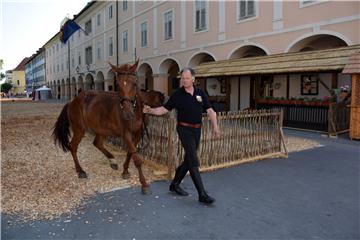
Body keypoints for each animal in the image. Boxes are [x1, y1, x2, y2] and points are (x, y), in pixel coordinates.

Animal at [52, 61, 165, 194]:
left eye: (134, 83)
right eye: (118, 84)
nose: (127, 113)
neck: (135, 111)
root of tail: (72, 101)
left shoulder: (137, 133)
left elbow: (130, 152)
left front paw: (125, 171)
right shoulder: (125, 134)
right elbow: (136, 159)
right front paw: (144, 184)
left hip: (100, 128)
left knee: (97, 143)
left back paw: (112, 161)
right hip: (79, 129)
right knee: (73, 146)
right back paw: (80, 171)